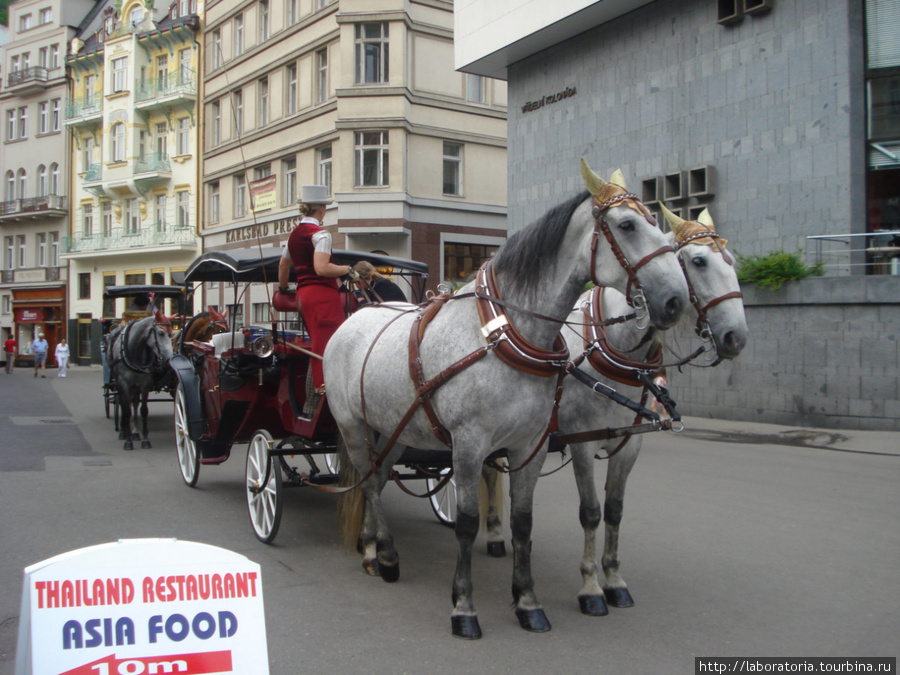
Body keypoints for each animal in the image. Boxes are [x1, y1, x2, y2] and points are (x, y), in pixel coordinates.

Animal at [106, 316, 175, 448]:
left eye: (172, 334)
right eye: (161, 333)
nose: (169, 359)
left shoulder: (144, 384)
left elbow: (143, 410)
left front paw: (145, 439)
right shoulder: (123, 383)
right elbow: (127, 411)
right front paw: (128, 441)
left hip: (135, 386)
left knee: (135, 403)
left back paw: (135, 432)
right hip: (119, 384)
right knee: (122, 403)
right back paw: (123, 430)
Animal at [326, 161, 692, 640]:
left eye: (657, 224)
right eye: (628, 225)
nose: (676, 300)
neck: (503, 333)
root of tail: (355, 317)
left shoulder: (529, 445)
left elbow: (523, 521)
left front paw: (527, 601)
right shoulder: (469, 445)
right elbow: (466, 523)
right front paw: (464, 607)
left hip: (395, 429)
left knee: (380, 476)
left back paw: (374, 548)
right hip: (353, 427)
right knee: (369, 483)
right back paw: (382, 555)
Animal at [482, 205, 748, 616]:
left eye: (731, 261)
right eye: (699, 261)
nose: (737, 337)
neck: (618, 349)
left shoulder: (628, 444)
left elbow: (615, 510)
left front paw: (615, 580)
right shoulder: (582, 442)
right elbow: (591, 511)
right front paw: (591, 587)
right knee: (488, 473)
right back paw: (494, 533)